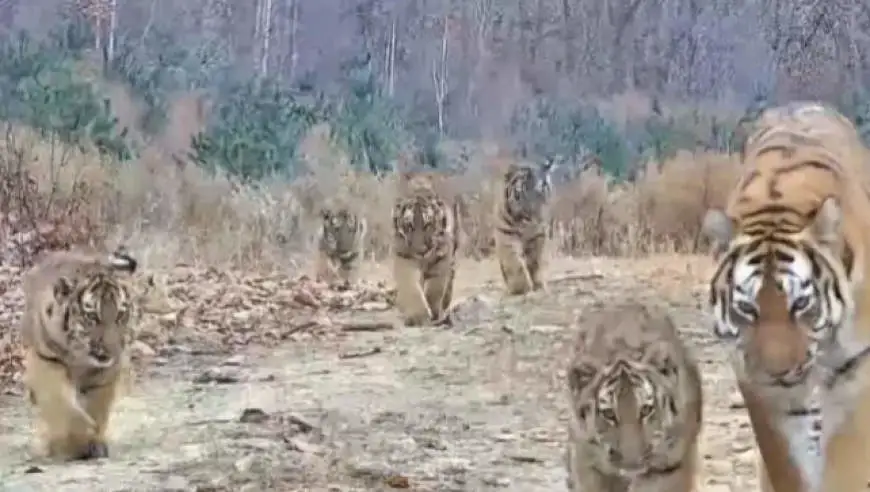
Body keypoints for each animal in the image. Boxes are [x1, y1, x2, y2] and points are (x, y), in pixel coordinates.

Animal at [20, 247, 147, 461]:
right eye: (93, 316)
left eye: (120, 314)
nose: (112, 348)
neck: (81, 357)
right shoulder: (46, 361)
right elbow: (62, 406)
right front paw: (76, 443)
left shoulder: (106, 373)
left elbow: (98, 407)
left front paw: (95, 441)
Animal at [391, 171, 459, 327]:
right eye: (409, 226)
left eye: (428, 225)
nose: (421, 251)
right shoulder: (404, 257)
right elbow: (411, 287)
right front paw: (418, 316)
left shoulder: (442, 257)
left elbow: (435, 288)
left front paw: (434, 311)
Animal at [494, 158, 556, 296]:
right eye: (518, 195)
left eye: (541, 191)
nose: (532, 217)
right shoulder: (506, 234)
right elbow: (514, 261)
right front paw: (520, 288)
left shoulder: (539, 234)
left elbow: (536, 261)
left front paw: (538, 284)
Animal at [701, 101, 870, 492]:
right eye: (747, 307)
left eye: (802, 304)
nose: (779, 373)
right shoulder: (758, 385)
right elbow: (787, 464)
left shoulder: (855, 372)